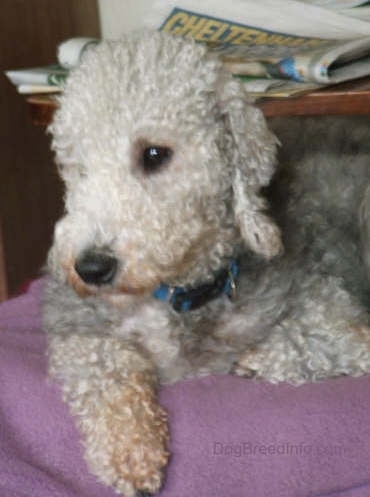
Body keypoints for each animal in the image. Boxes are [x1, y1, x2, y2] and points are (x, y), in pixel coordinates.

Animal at [42, 31, 370, 496]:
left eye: (154, 154)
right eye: (78, 169)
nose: (90, 268)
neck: (175, 294)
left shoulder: (332, 307)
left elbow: (331, 342)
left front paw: (263, 357)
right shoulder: (76, 327)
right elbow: (107, 371)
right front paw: (131, 453)